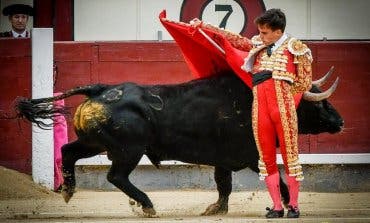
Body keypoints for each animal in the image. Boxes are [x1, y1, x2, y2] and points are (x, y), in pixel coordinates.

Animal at [15, 68, 344, 216]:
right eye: (319, 103)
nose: (340, 122)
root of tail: (101, 89)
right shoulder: (254, 155)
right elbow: (279, 179)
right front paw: (289, 206)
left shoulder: (223, 160)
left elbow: (223, 185)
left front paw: (215, 210)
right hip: (127, 150)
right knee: (116, 176)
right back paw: (147, 205)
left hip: (95, 143)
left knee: (68, 151)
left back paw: (68, 191)